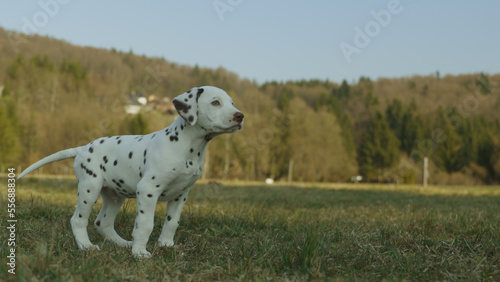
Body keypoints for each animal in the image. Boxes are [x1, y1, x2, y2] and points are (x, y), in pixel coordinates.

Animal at [18, 86, 245, 258]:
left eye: (233, 103)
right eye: (215, 102)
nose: (240, 115)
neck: (187, 146)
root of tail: (83, 148)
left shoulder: (181, 194)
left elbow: (172, 222)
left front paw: (166, 245)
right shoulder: (148, 190)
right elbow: (145, 224)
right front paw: (140, 253)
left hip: (114, 196)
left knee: (103, 222)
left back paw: (122, 243)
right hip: (89, 188)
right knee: (78, 220)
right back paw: (86, 246)